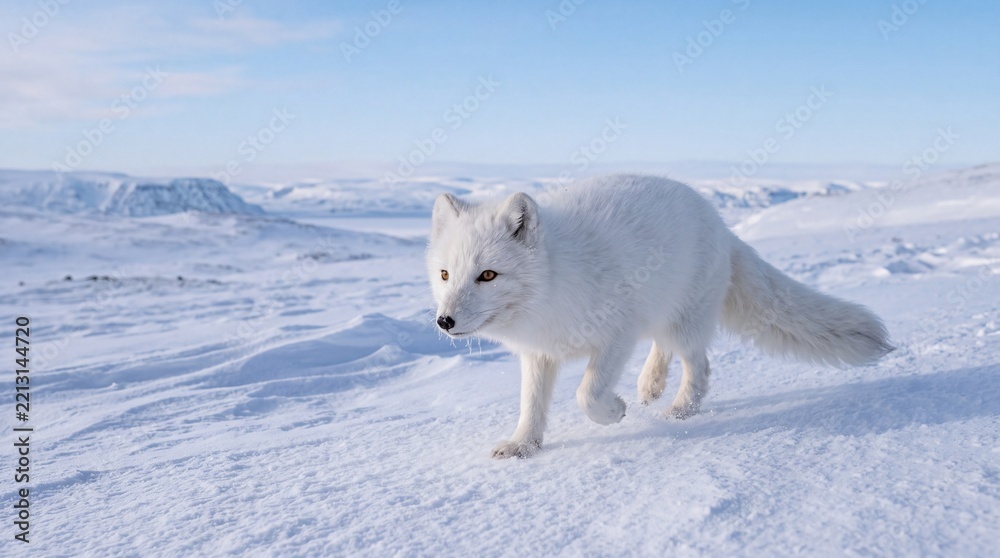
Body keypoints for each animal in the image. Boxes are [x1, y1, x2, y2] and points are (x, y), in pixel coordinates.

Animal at [427, 174, 893, 459]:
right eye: (445, 274)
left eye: (488, 275)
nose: (444, 322)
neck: (556, 282)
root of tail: (722, 226)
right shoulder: (538, 355)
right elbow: (531, 405)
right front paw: (524, 447)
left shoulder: (616, 334)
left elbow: (586, 393)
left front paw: (614, 412)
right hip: (663, 316)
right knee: (664, 348)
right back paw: (650, 385)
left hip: (684, 322)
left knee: (700, 366)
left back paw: (679, 410)